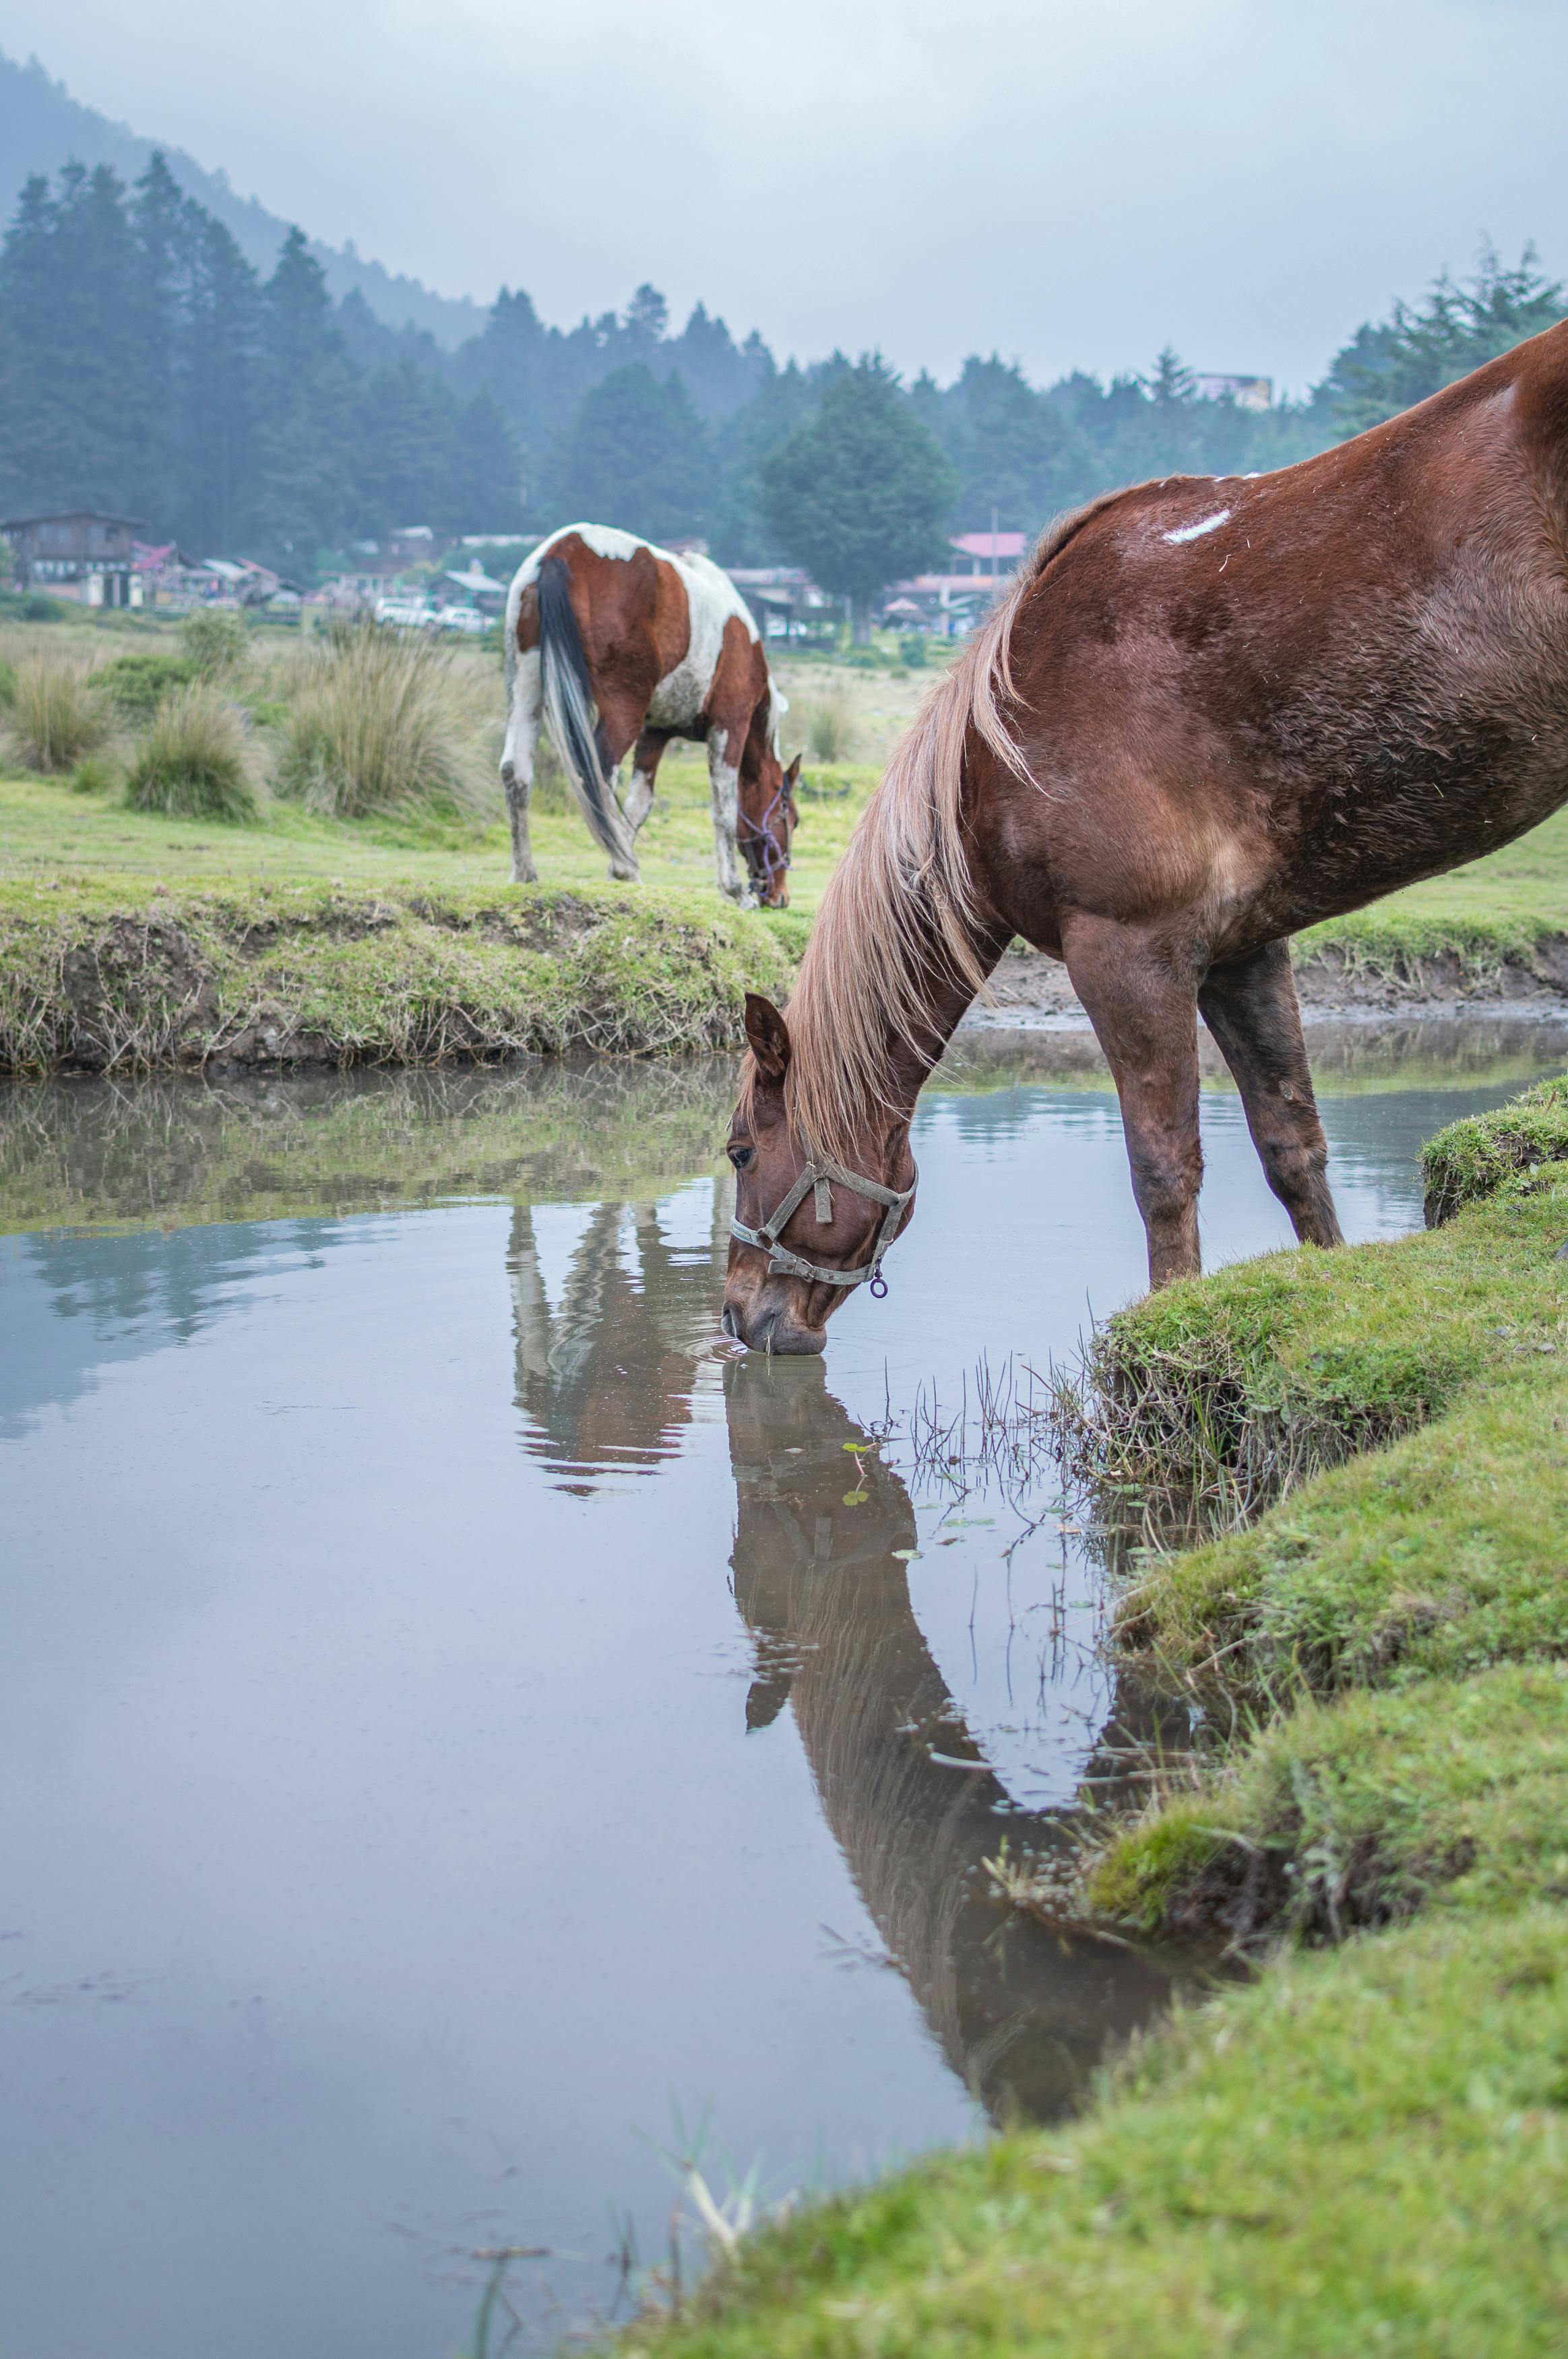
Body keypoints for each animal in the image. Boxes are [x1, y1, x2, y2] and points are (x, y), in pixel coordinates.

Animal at [502, 526, 796, 901]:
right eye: (790, 816)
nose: (779, 895)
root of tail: (562, 551)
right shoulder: (730, 726)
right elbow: (725, 810)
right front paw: (731, 888)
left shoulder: (655, 732)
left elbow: (640, 803)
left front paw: (623, 868)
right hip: (622, 711)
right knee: (597, 779)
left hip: (527, 689)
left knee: (516, 773)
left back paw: (525, 870)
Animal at [726, 318, 1568, 1349]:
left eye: (738, 1153)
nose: (738, 1317)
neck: (1003, 744)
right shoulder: (1241, 954)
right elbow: (1291, 1143)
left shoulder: (1127, 951)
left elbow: (1162, 1166)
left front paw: (1164, 1326)